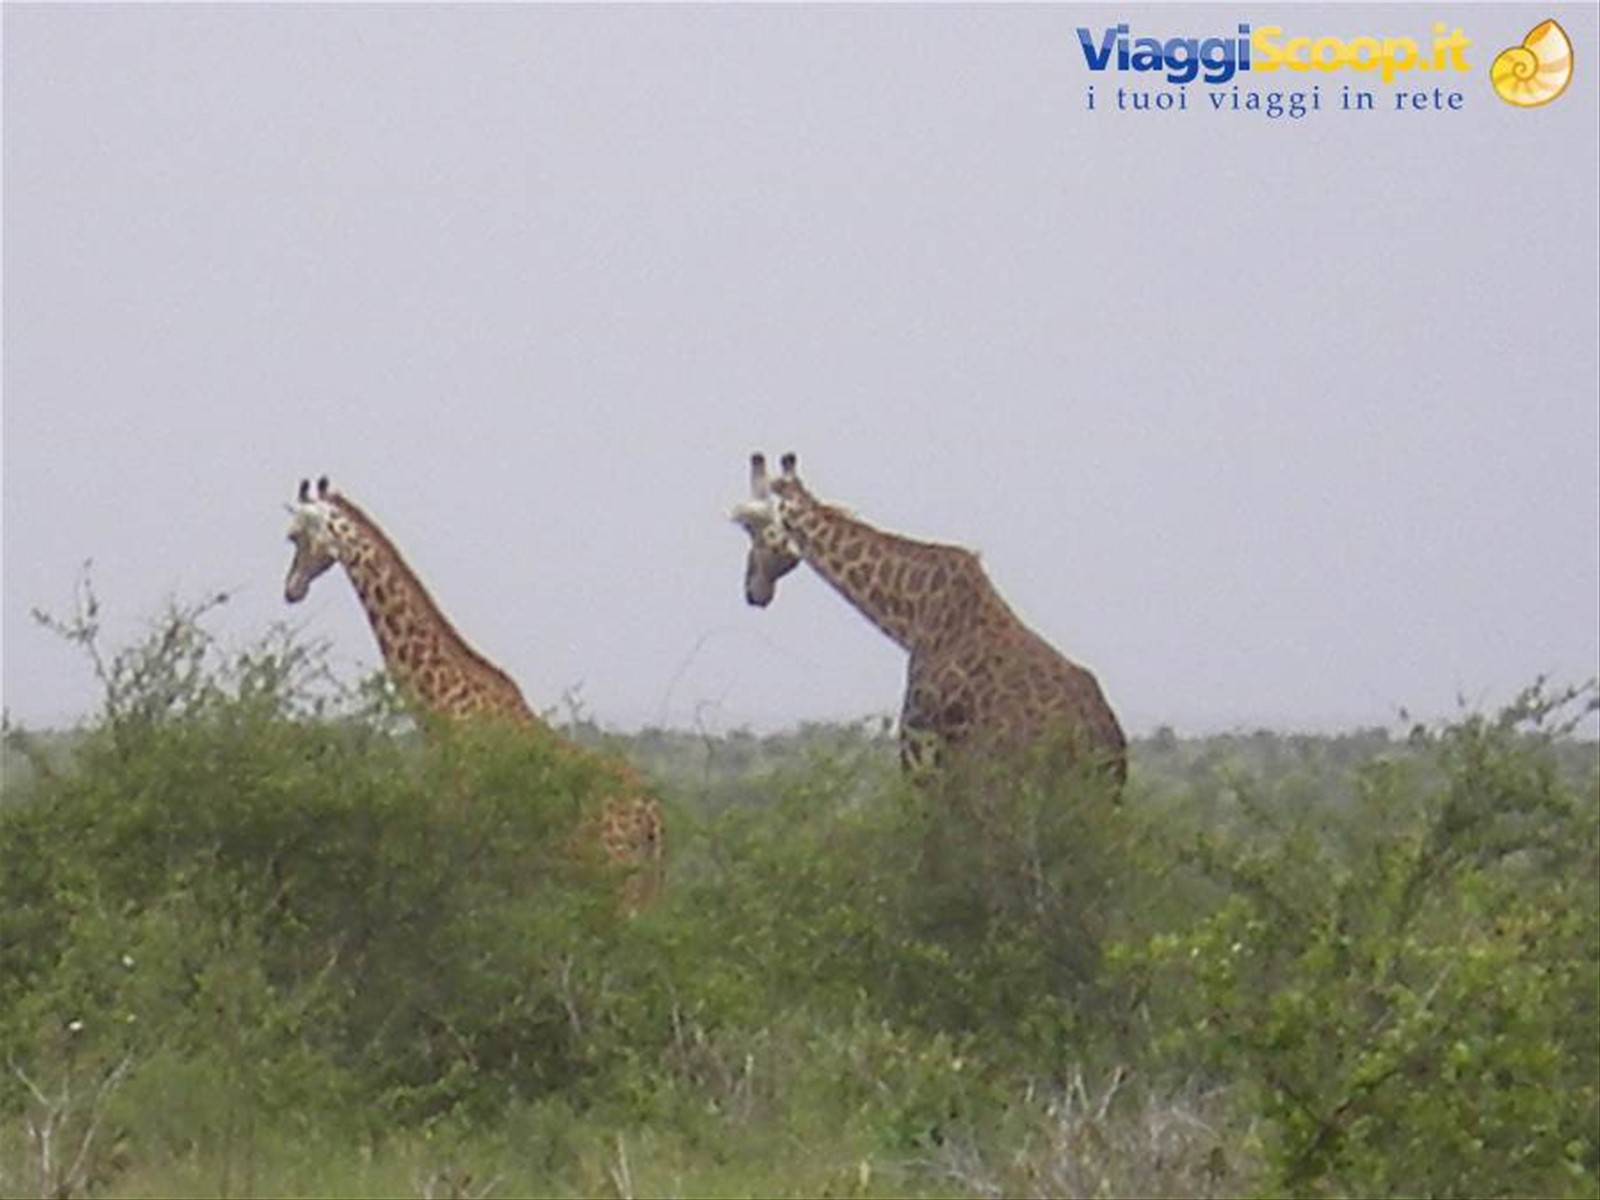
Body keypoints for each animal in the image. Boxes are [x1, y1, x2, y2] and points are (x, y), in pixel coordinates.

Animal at [284, 476, 664, 908]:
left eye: (294, 536)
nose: (291, 590)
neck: (442, 705)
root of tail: (651, 814)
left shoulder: (461, 825)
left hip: (612, 874)